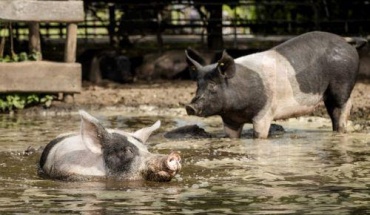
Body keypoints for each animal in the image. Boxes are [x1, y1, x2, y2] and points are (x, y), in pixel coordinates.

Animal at [185, 31, 364, 139]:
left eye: (213, 85)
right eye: (198, 85)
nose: (189, 107)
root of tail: (347, 42)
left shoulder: (264, 113)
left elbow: (260, 136)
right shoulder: (230, 120)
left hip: (342, 83)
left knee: (345, 105)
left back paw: (341, 130)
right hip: (328, 94)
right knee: (333, 111)